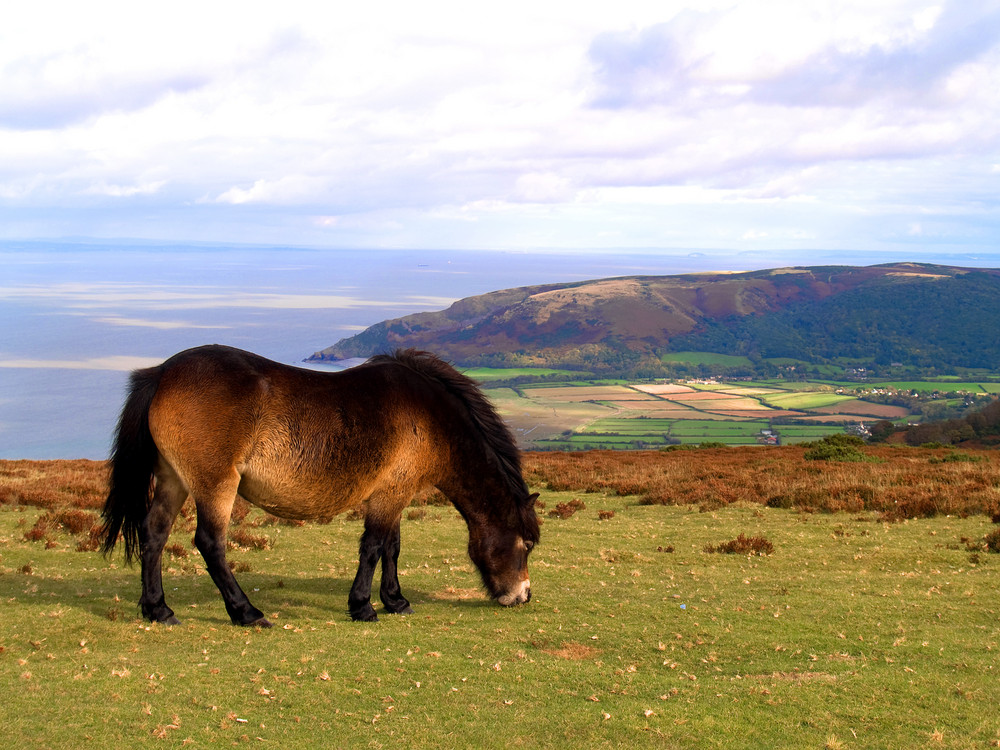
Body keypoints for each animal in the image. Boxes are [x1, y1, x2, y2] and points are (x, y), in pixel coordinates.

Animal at [99, 348, 540, 628]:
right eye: (528, 544)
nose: (524, 595)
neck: (430, 416)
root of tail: (161, 373)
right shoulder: (391, 495)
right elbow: (374, 547)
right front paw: (363, 606)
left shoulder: (394, 492)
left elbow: (392, 548)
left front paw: (395, 600)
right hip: (215, 485)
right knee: (211, 544)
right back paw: (246, 613)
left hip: (173, 480)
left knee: (154, 534)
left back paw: (158, 610)